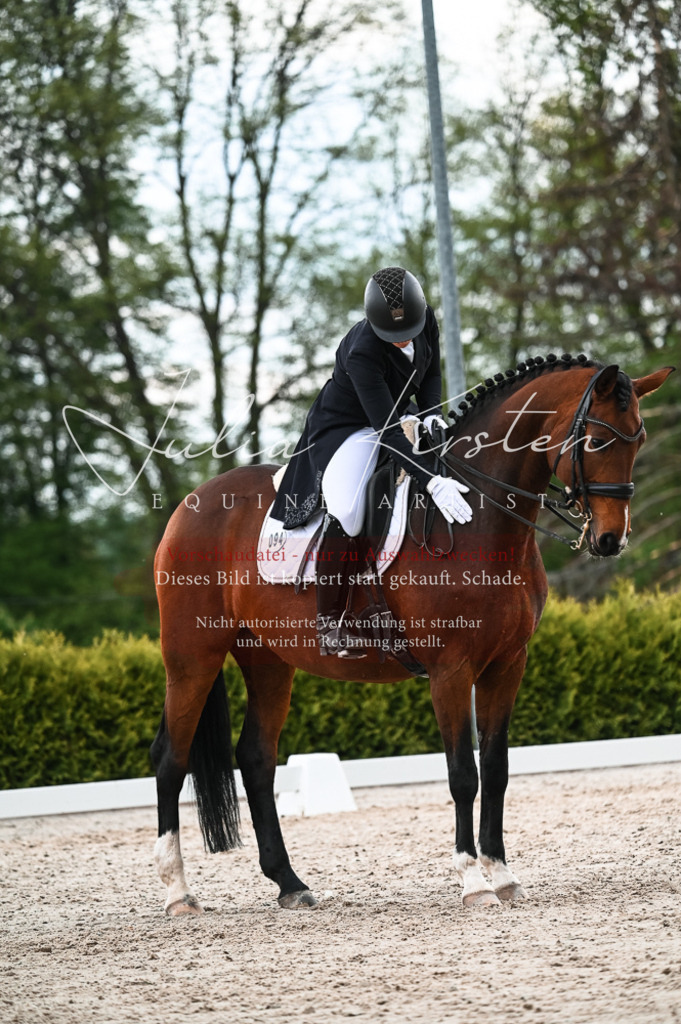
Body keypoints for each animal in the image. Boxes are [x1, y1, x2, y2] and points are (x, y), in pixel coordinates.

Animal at [150, 354, 672, 915]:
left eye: (639, 438)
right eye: (596, 441)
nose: (610, 540)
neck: (482, 523)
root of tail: (190, 503)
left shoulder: (508, 664)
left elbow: (497, 769)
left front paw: (502, 874)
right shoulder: (450, 670)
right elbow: (463, 773)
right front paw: (473, 882)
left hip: (268, 660)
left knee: (255, 758)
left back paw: (290, 883)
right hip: (193, 657)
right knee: (171, 758)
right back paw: (179, 893)